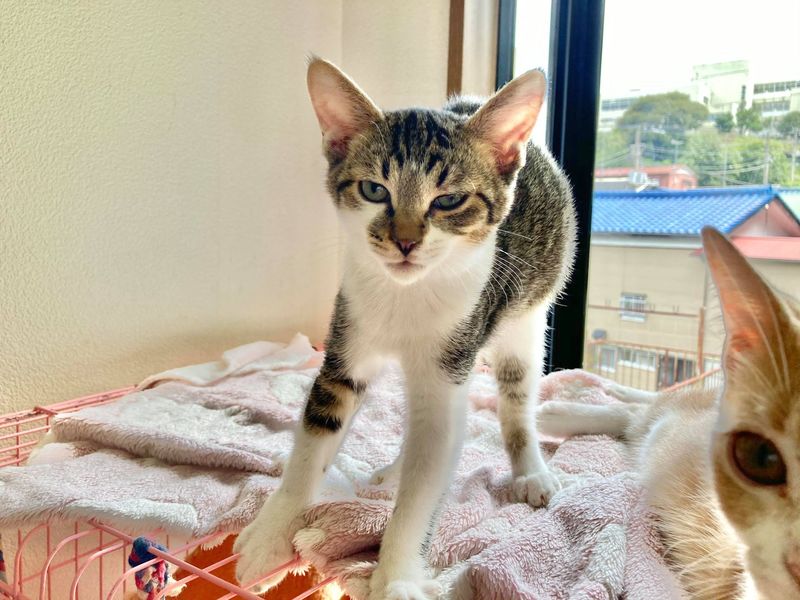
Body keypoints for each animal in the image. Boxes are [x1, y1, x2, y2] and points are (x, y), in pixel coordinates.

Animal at [234, 57, 576, 599]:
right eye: (375, 190)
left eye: (449, 200)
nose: (405, 241)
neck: (406, 294)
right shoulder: (346, 343)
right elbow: (314, 441)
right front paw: (271, 531)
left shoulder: (449, 367)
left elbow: (428, 473)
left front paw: (394, 574)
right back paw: (395, 471)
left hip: (527, 312)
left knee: (515, 398)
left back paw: (530, 471)